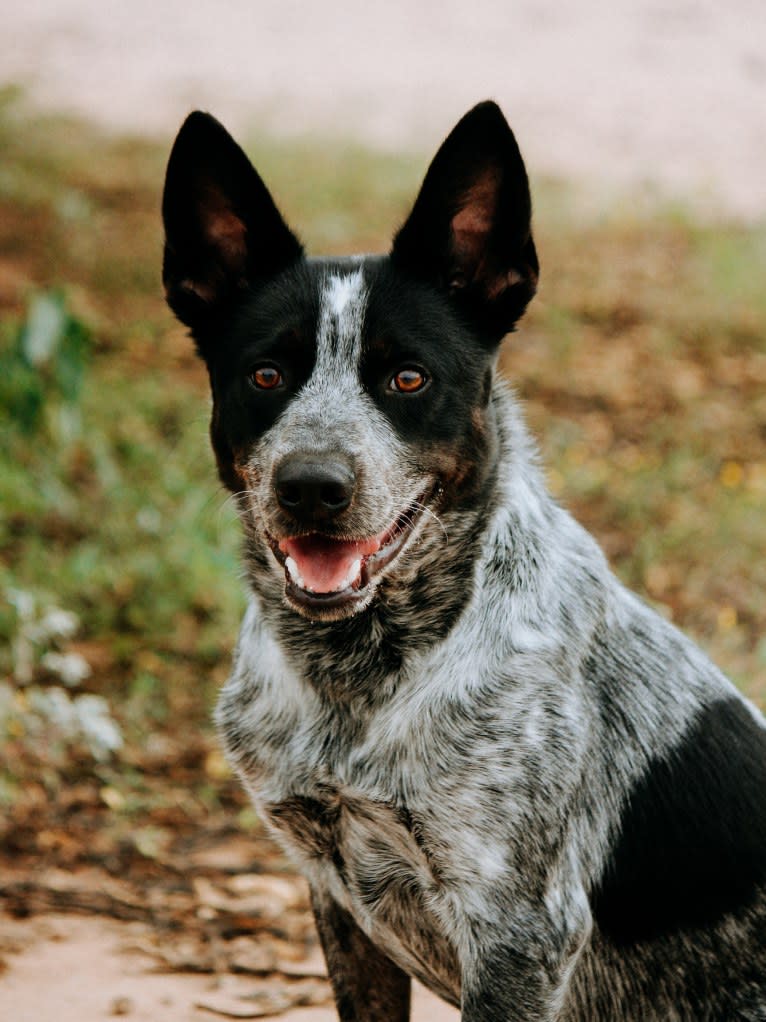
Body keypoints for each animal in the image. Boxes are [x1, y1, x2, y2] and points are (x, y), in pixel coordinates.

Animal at [162, 99, 766, 1017]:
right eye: (266, 375)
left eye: (409, 379)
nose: (312, 487)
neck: (359, 678)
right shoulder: (336, 894)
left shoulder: (519, 933)